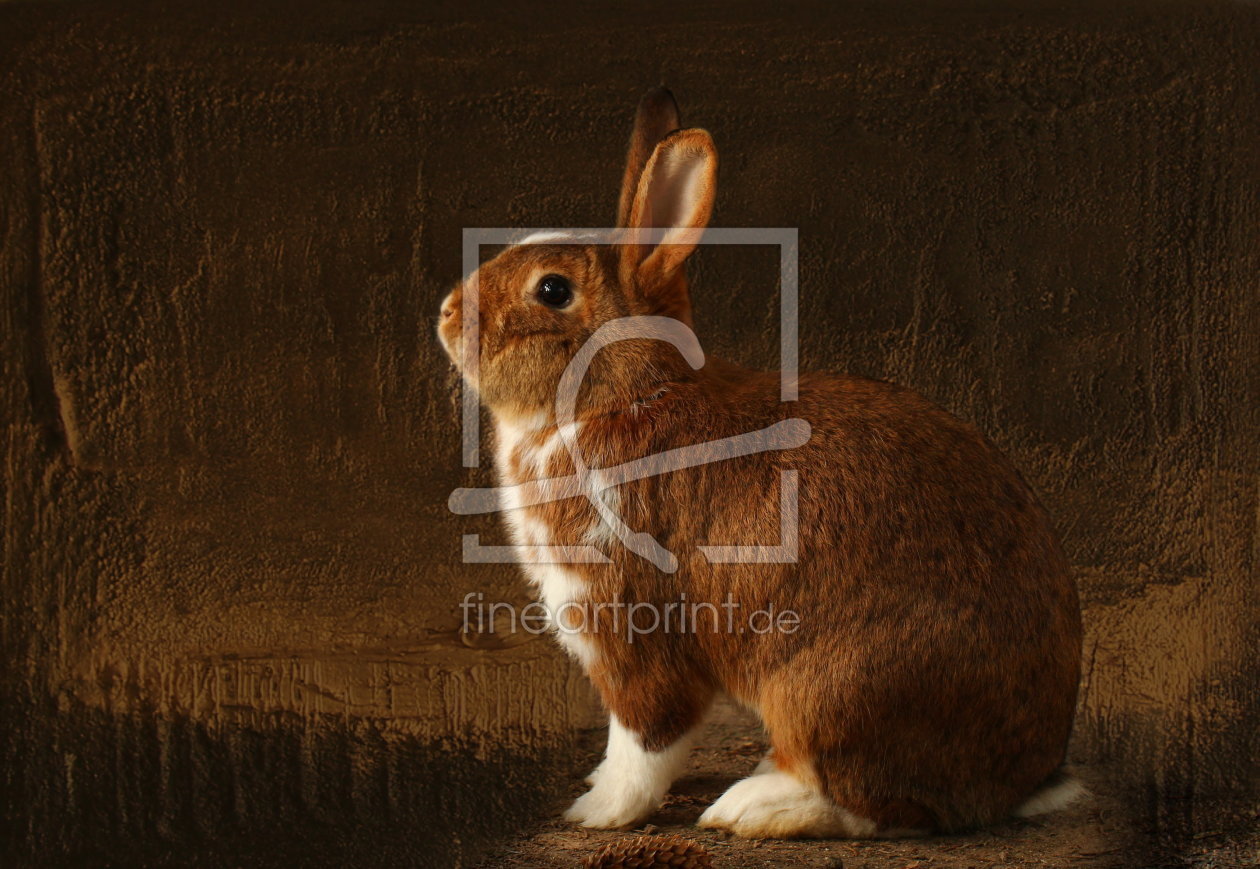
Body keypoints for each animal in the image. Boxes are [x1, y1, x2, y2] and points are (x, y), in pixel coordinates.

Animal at [438, 86, 1078, 831]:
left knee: (866, 801)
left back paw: (753, 807)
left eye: (551, 291)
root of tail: (1019, 779)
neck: (626, 395)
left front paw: (595, 811)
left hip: (831, 692)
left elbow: (647, 739)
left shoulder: (630, 620)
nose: (446, 312)